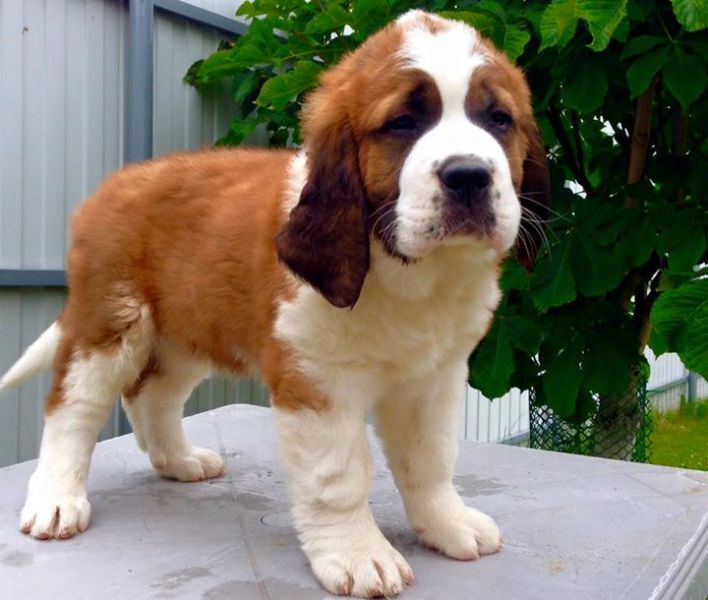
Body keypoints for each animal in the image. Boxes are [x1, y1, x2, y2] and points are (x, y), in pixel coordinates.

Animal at [0, 10, 549, 597]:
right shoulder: (317, 382)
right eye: (404, 122)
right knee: (73, 409)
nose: (469, 175)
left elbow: (431, 459)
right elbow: (338, 478)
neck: (405, 269)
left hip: (189, 328)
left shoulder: (435, 380)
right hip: (109, 325)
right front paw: (358, 554)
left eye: (498, 119)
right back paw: (57, 499)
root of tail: (111, 186)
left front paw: (447, 524)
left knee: (153, 394)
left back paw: (178, 460)